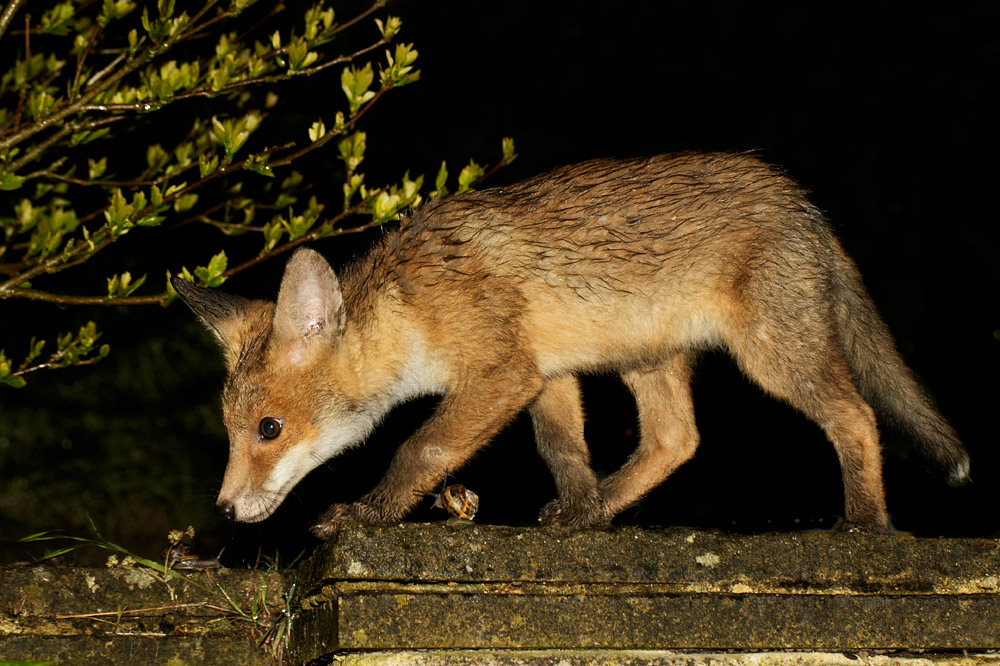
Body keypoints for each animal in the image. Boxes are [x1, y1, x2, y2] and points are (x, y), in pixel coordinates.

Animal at [173, 151, 969, 539]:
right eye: (232, 433)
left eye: (269, 429)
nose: (224, 512)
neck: (412, 305)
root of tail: (804, 203)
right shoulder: (546, 375)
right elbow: (563, 453)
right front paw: (582, 511)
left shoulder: (500, 373)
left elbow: (418, 449)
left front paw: (367, 514)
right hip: (646, 360)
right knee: (675, 442)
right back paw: (605, 510)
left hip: (773, 355)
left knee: (856, 416)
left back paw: (865, 526)